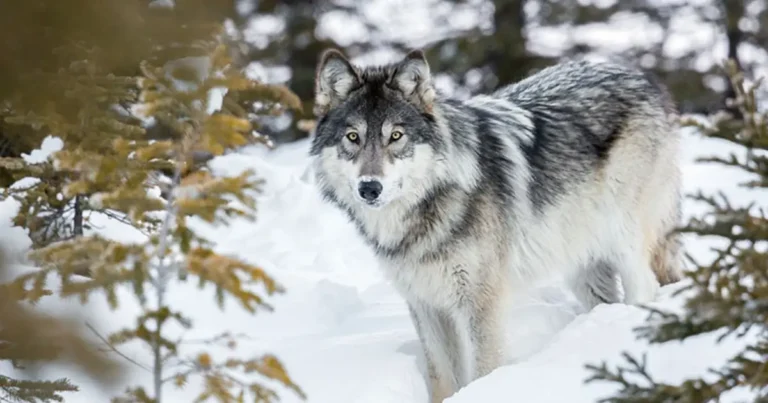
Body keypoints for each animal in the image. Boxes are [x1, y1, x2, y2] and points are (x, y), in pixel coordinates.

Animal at [308, 48, 682, 402]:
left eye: (396, 136)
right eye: (353, 137)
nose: (369, 188)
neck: (426, 212)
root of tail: (640, 76)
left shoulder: (480, 301)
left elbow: (483, 368)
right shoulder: (425, 305)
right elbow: (441, 377)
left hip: (623, 241)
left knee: (646, 287)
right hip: (582, 268)